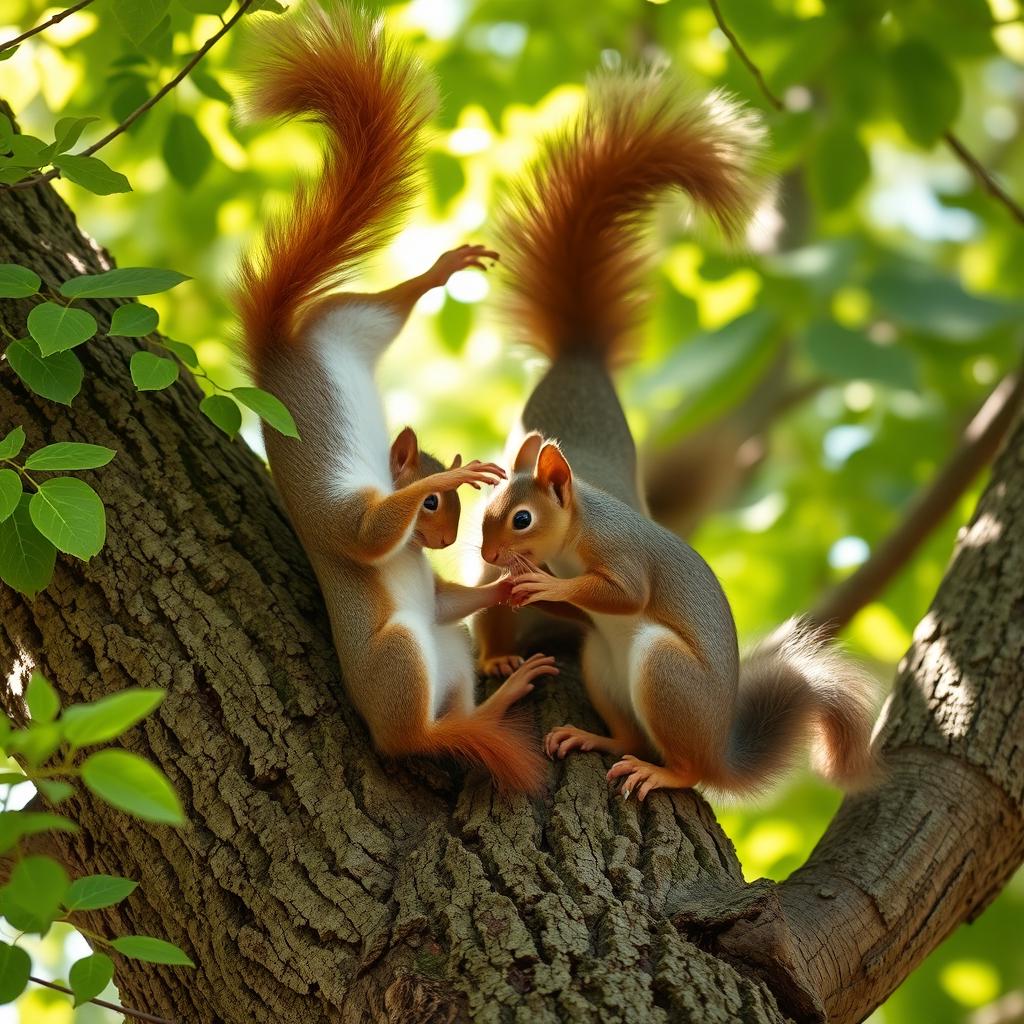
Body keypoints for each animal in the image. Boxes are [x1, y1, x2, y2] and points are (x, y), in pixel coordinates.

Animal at [233, 2, 554, 793]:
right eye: (435, 506)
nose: (442, 542)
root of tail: (278, 352)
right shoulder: (346, 520)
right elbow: (370, 532)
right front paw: (462, 471)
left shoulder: (436, 590)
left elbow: (449, 597)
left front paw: (511, 584)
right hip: (400, 656)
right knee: (423, 734)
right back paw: (482, 707)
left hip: (351, 321)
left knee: (393, 304)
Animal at [478, 67, 878, 800]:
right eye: (485, 511)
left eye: (521, 517)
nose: (492, 555)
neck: (575, 533)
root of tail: (719, 747)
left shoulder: (619, 551)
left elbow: (623, 592)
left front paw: (547, 587)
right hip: (604, 665)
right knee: (627, 725)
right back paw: (596, 739)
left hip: (662, 671)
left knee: (684, 766)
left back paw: (657, 769)